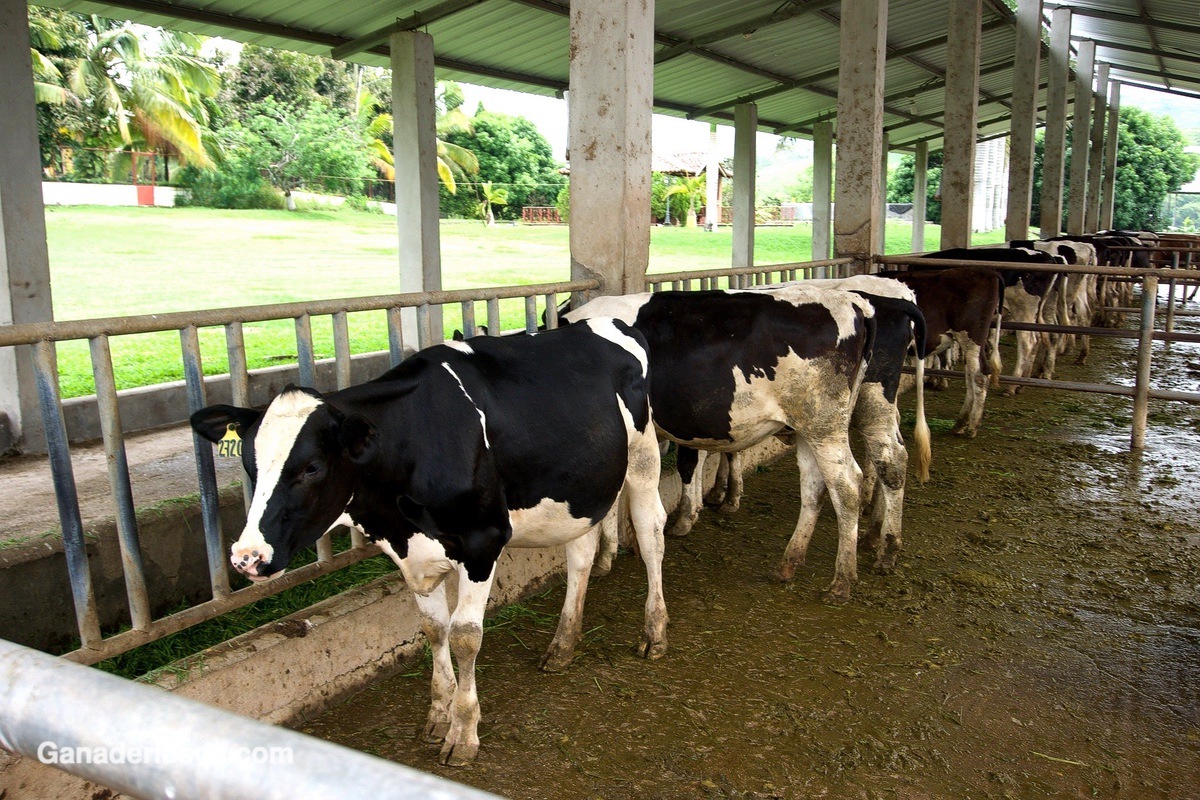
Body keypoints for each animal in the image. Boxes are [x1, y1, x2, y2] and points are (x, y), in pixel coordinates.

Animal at [192, 321, 672, 767]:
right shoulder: (412, 553)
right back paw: (563, 645)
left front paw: (463, 733)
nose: (247, 557)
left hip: (643, 456)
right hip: (578, 489)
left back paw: (654, 633)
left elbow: (464, 637)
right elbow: (434, 628)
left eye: (311, 467)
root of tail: (608, 322)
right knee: (580, 556)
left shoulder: (482, 542)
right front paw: (439, 713)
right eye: (250, 463)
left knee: (651, 535)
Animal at [561, 286, 873, 599]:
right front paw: (610, 554)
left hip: (824, 425)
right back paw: (788, 563)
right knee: (814, 486)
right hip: (809, 429)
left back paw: (842, 580)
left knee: (847, 485)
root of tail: (852, 301)